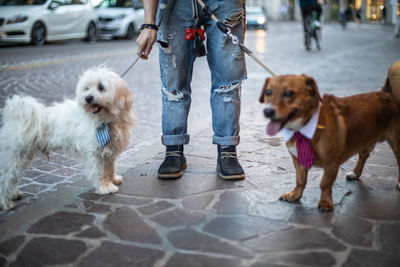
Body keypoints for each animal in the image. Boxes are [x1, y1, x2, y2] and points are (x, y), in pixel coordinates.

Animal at [0, 66, 134, 210]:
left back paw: (13, 194)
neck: (105, 120)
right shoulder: (95, 153)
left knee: (12, 177)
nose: (88, 98)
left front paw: (113, 179)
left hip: (22, 158)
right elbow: (101, 172)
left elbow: (110, 168)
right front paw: (105, 187)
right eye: (86, 88)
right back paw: (6, 203)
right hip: (14, 157)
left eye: (101, 87)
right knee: (4, 178)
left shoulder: (109, 152)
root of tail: (16, 116)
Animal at [260, 61, 400, 211]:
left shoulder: (332, 163)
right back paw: (355, 173)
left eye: (288, 93)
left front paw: (325, 202)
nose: (267, 111)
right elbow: (300, 180)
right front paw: (295, 195)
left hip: (396, 143)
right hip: (365, 137)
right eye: (268, 92)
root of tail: (386, 93)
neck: (304, 126)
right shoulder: (297, 159)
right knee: (363, 155)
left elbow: (325, 183)